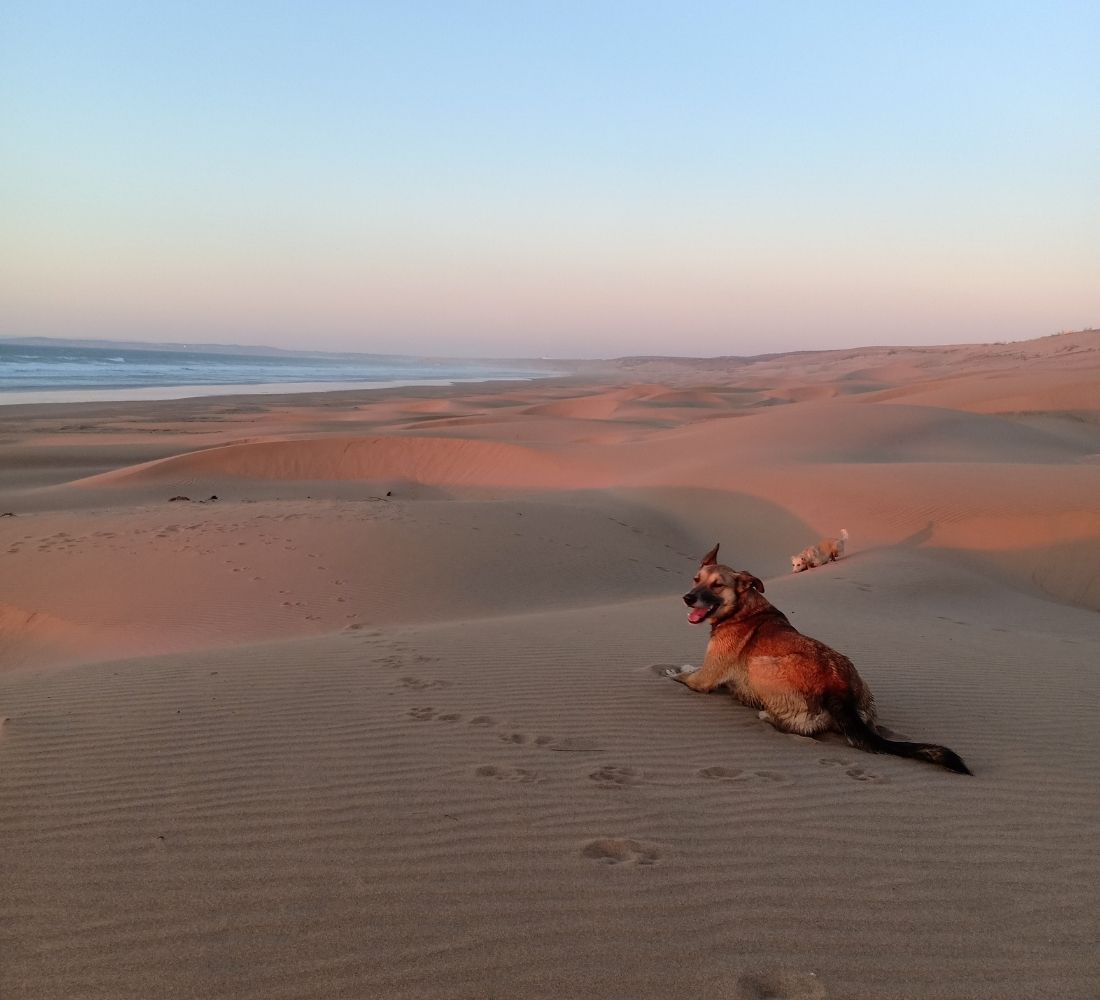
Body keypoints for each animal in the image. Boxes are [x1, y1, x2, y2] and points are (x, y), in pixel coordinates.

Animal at [664, 545, 968, 774]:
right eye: (696, 579)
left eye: (717, 585)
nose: (687, 598)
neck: (741, 609)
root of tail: (839, 687)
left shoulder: (705, 677)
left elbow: (687, 674)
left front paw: (672, 670)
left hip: (760, 664)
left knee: (803, 725)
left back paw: (763, 711)